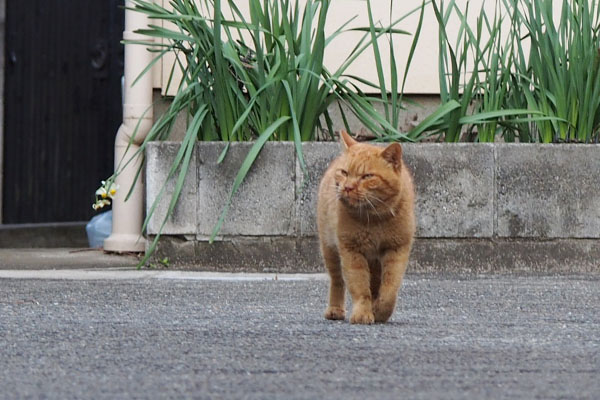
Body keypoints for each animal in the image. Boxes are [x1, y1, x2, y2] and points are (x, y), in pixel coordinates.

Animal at [316, 131, 414, 324]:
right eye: (344, 172)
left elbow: (390, 288)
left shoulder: (397, 250)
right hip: (329, 249)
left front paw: (381, 311)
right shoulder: (352, 251)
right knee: (337, 281)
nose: (347, 187)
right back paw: (335, 309)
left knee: (376, 284)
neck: (374, 219)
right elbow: (360, 287)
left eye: (367, 176)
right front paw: (363, 312)